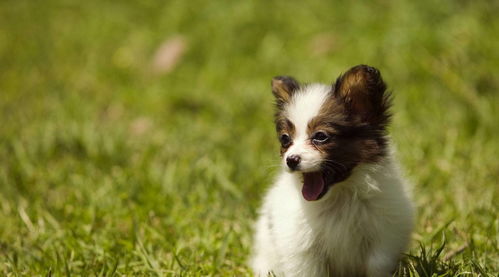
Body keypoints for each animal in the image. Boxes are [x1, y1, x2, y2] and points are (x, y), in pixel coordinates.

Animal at [252, 65, 416, 276]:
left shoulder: (384, 237)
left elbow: (377, 266)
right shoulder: (302, 249)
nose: (291, 160)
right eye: (285, 139)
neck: (338, 197)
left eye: (321, 136)